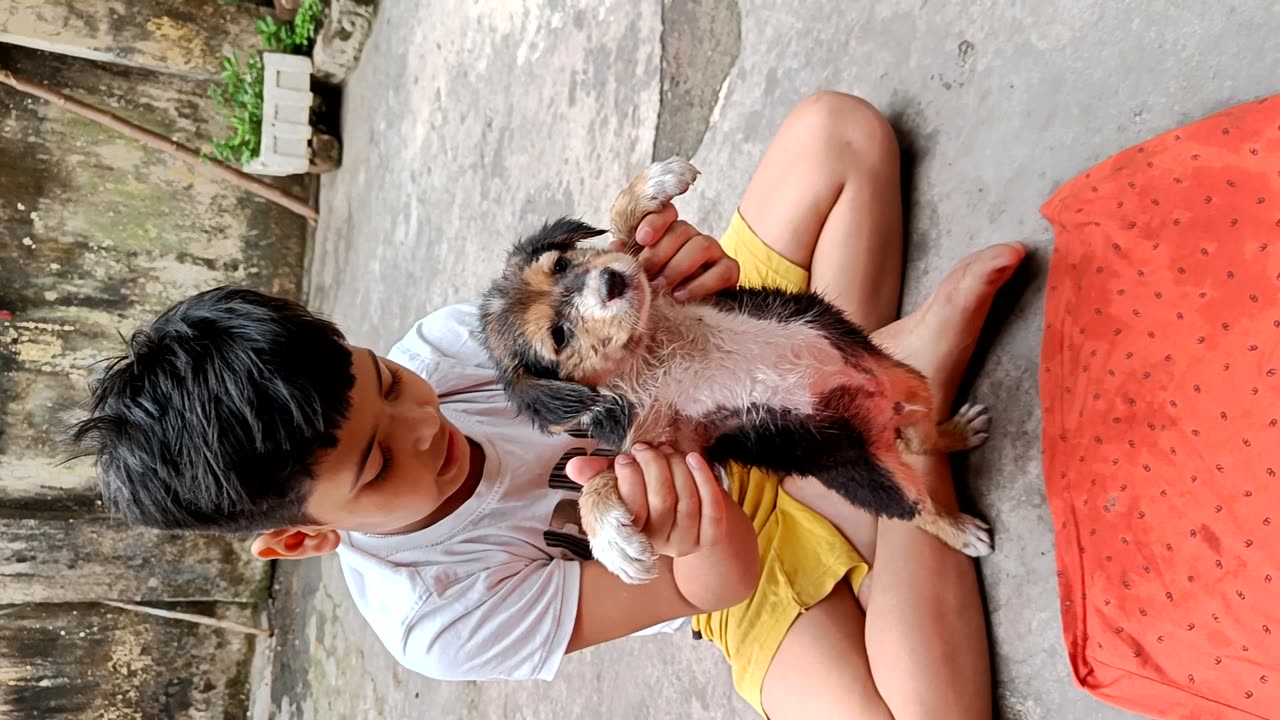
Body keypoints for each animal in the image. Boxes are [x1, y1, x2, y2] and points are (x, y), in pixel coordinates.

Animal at [481, 156, 988, 584]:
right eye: (559, 336)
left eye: (563, 263)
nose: (611, 282)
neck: (650, 345)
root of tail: (884, 414)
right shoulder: (678, 448)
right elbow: (604, 476)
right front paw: (612, 539)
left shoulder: (668, 288)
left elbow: (631, 243)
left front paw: (657, 181)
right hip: (873, 476)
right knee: (918, 501)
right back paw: (962, 530)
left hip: (905, 378)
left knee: (923, 436)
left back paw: (958, 435)